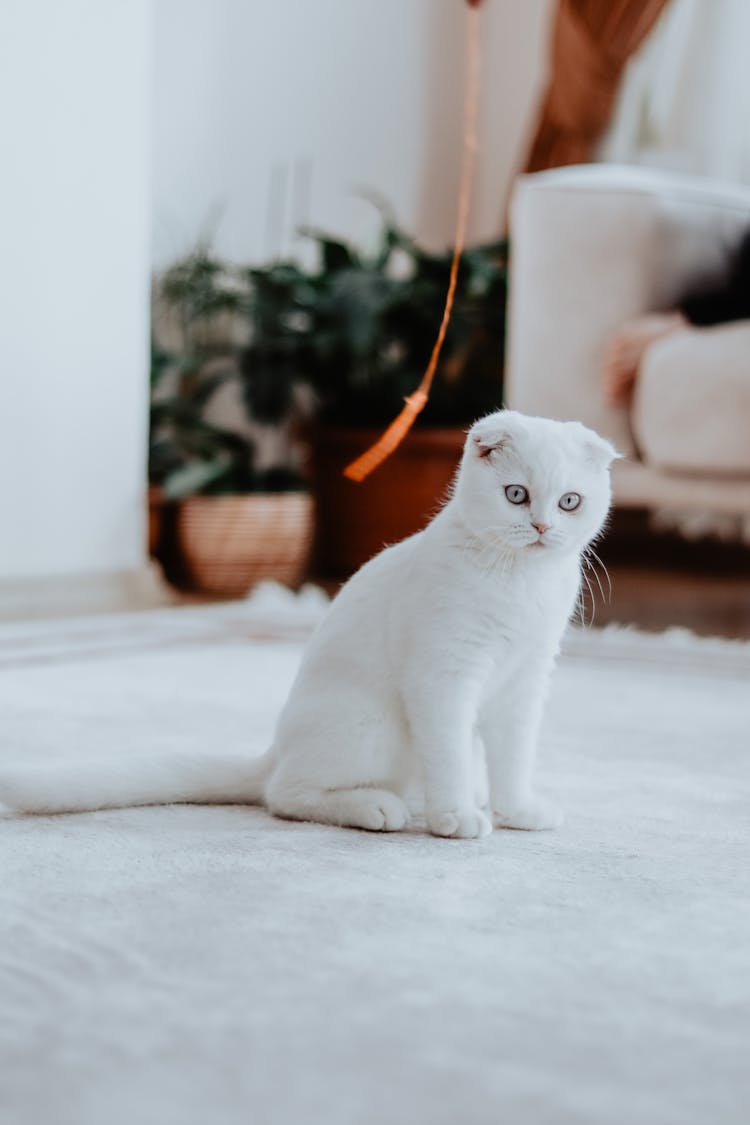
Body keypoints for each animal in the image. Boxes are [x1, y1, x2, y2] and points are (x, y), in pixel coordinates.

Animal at [2, 411, 620, 837]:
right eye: (517, 495)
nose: (541, 526)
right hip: (373, 725)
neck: (520, 583)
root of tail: (273, 751)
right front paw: (455, 818)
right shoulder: (443, 678)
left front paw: (517, 810)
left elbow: (514, 757)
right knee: (286, 795)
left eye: (569, 502)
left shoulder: (524, 683)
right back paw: (380, 807)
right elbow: (446, 753)